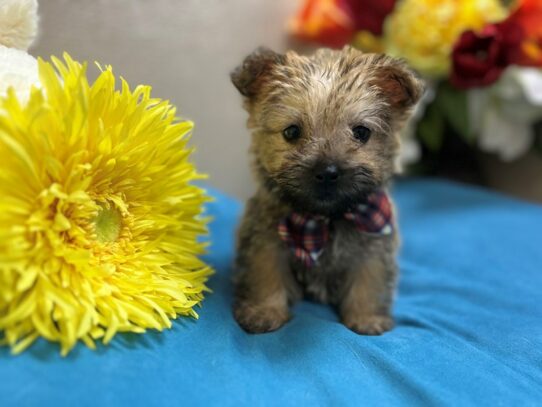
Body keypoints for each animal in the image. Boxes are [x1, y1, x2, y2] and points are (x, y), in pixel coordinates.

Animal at [230, 46, 424, 336]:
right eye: (291, 131)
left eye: (361, 132)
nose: (328, 172)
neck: (324, 219)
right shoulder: (265, 241)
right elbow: (266, 274)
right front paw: (264, 312)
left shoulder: (374, 247)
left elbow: (370, 279)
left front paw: (366, 318)